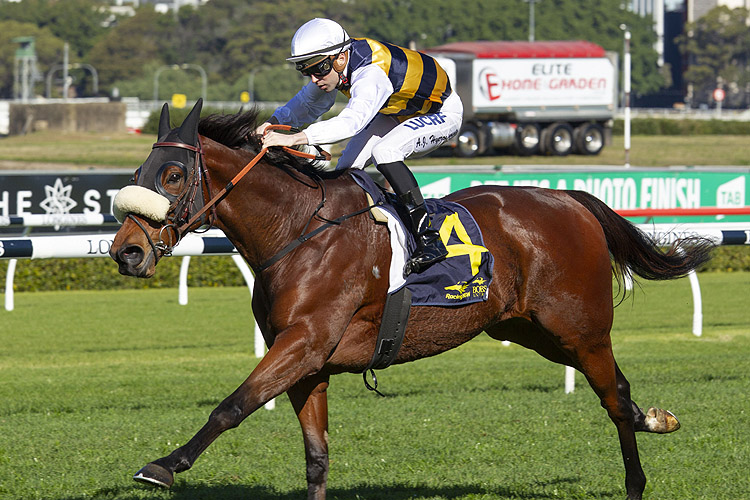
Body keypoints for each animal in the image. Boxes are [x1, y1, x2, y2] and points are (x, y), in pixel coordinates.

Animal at [108, 100, 712, 500]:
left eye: (173, 174)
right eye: (137, 173)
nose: (126, 252)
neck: (297, 230)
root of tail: (569, 198)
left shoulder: (304, 343)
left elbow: (231, 406)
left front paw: (164, 465)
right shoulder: (306, 360)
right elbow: (316, 458)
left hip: (579, 328)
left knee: (611, 398)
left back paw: (635, 480)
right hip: (528, 329)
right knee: (619, 392)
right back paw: (654, 418)